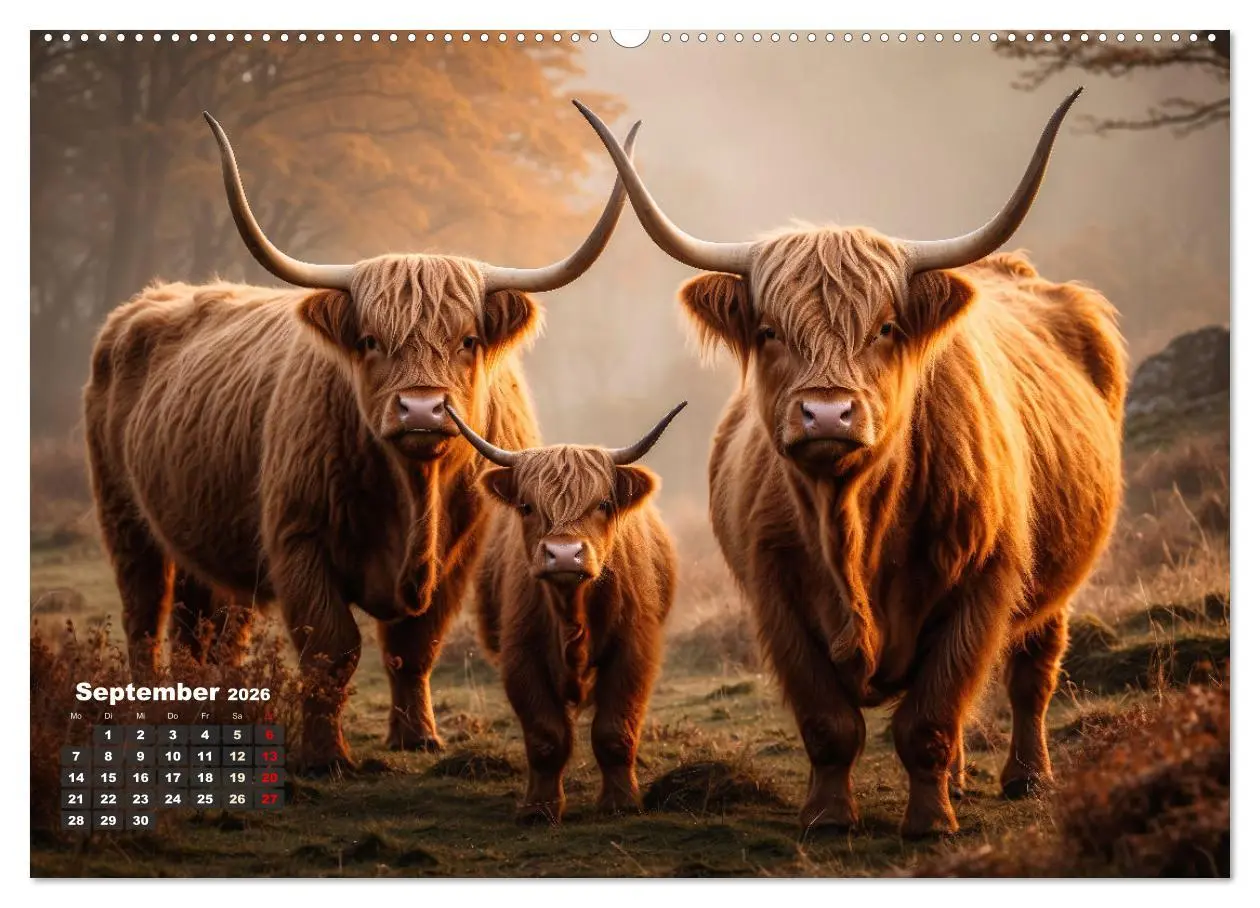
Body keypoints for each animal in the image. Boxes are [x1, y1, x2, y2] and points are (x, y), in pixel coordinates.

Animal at [83, 112, 640, 772]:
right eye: (371, 341)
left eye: (469, 340)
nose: (422, 408)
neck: (413, 492)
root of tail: (145, 303)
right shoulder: (298, 537)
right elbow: (332, 648)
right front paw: (327, 757)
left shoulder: (462, 551)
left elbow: (415, 643)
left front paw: (418, 736)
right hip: (124, 516)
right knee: (144, 613)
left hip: (208, 535)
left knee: (209, 630)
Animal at [445, 402, 683, 824]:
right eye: (527, 506)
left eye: (603, 504)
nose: (564, 554)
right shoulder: (521, 655)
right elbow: (546, 736)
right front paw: (539, 808)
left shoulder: (634, 650)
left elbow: (614, 731)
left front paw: (621, 802)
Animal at [576, 90, 1127, 836]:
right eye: (770, 331)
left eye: (886, 328)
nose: (828, 414)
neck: (852, 523)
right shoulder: (777, 597)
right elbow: (830, 724)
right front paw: (830, 816)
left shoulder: (983, 585)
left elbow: (929, 718)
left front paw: (930, 823)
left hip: (1057, 585)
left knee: (1032, 672)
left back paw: (1026, 777)